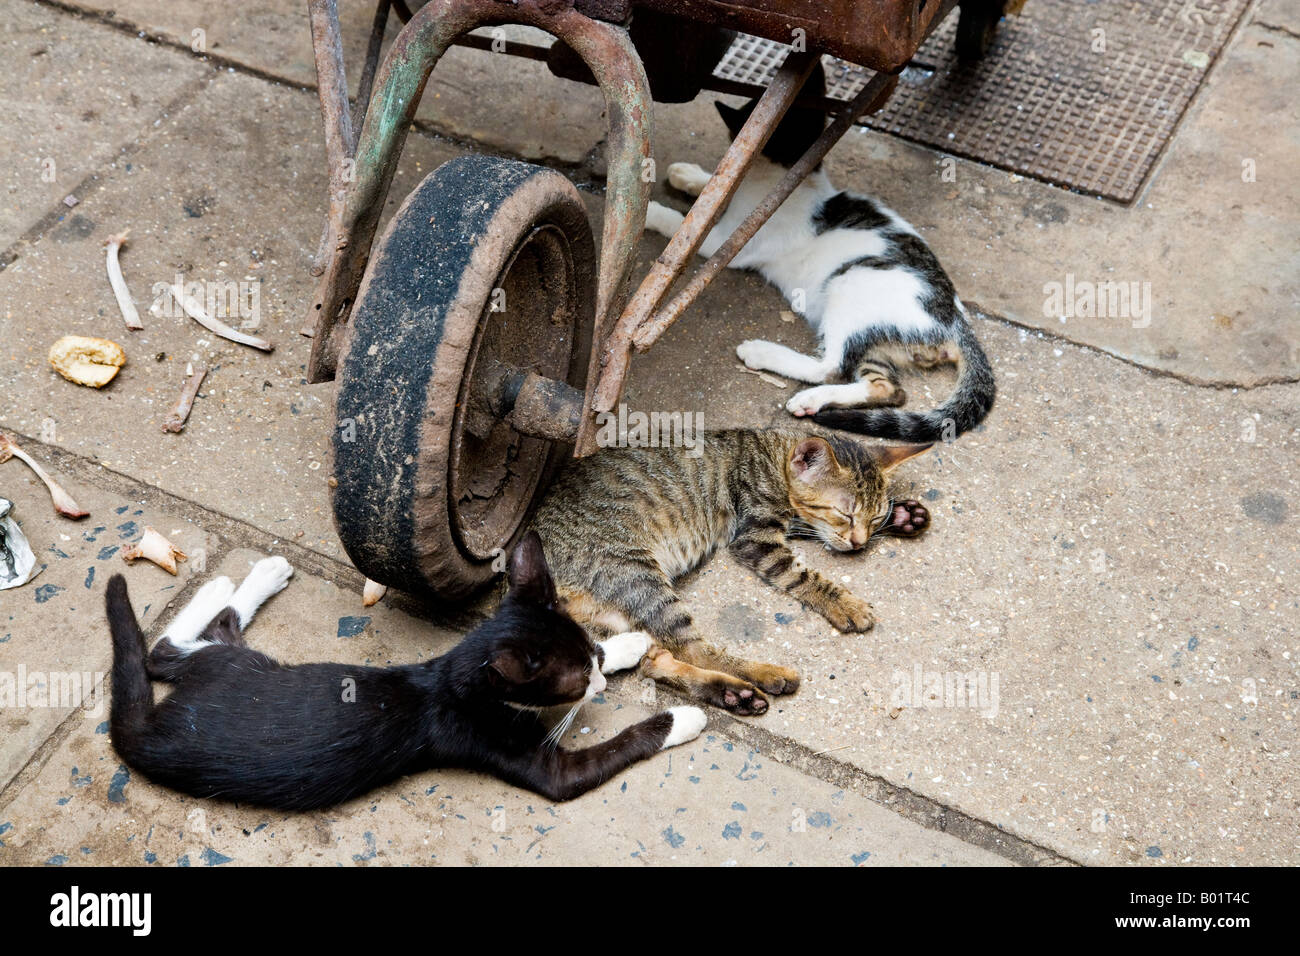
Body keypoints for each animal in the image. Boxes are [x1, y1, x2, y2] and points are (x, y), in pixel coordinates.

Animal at [106, 535, 707, 811]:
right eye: (576, 681)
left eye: (586, 660)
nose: (598, 684)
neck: (451, 678)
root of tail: (145, 738)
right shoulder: (529, 761)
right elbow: (617, 748)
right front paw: (683, 719)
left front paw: (625, 643)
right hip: (239, 668)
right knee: (167, 648)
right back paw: (227, 582)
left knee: (187, 645)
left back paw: (251, 576)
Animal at [530, 429, 935, 712]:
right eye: (844, 513)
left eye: (874, 517)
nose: (858, 542)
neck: (770, 454)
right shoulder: (755, 536)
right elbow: (804, 575)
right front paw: (846, 605)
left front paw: (902, 516)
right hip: (637, 575)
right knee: (692, 648)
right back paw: (765, 675)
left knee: (657, 661)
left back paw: (734, 694)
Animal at [647, 61, 993, 442]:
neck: (792, 178)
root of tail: (954, 319)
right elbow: (716, 195)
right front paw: (690, 176)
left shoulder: (730, 242)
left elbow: (687, 228)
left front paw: (653, 212)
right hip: (879, 343)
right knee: (888, 389)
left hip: (852, 282)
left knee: (831, 367)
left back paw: (772, 362)